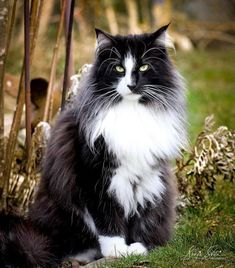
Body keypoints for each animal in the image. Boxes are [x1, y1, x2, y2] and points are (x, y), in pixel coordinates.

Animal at [0, 24, 187, 266]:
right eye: (118, 68)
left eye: (144, 66)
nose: (131, 85)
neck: (131, 112)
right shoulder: (94, 176)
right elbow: (107, 219)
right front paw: (117, 250)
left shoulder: (148, 178)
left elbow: (142, 217)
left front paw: (139, 247)